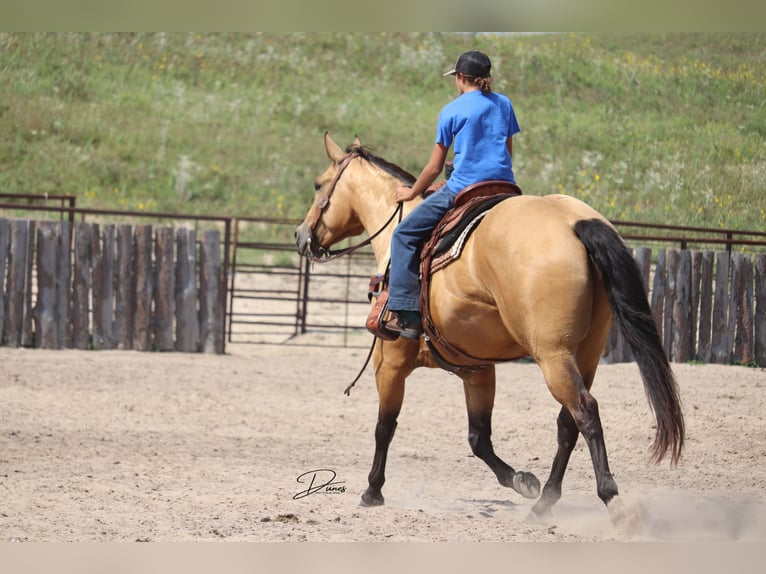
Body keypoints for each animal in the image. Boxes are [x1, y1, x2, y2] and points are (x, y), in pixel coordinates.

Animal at [294, 134, 684, 532]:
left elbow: (384, 426)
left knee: (585, 411)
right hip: (586, 354)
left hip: (553, 355)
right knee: (568, 422)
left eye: (318, 185)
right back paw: (543, 502)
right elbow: (478, 437)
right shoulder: (477, 369)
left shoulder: (389, 363)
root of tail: (574, 222)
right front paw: (522, 481)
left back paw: (613, 501)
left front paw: (372, 491)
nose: (301, 235)